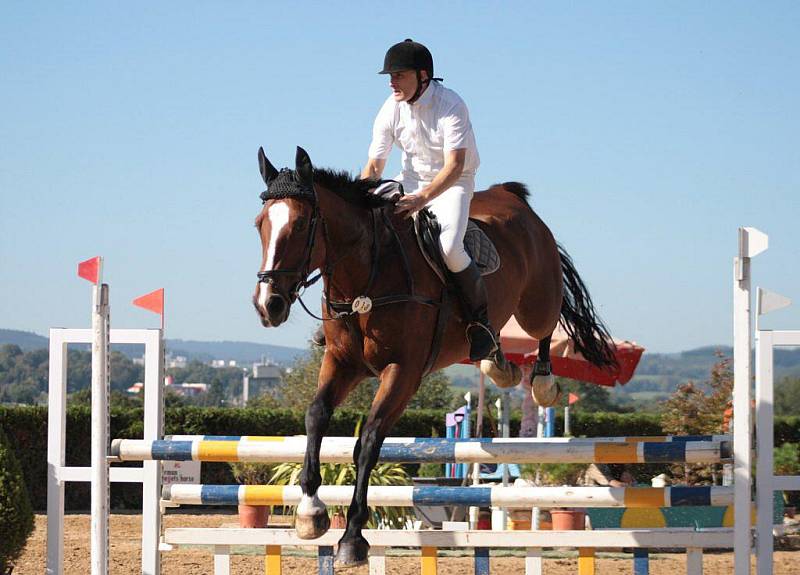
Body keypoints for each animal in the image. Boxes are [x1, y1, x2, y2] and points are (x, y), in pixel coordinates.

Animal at [253, 145, 616, 568]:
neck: (367, 276)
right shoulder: (342, 363)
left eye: (299, 225)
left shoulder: (404, 371)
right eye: (260, 224)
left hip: (536, 303)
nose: (268, 305)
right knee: (497, 336)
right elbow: (316, 416)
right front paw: (310, 512)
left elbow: (369, 440)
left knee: (548, 323)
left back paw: (541, 381)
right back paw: (499, 365)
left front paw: (353, 539)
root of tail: (512, 197)